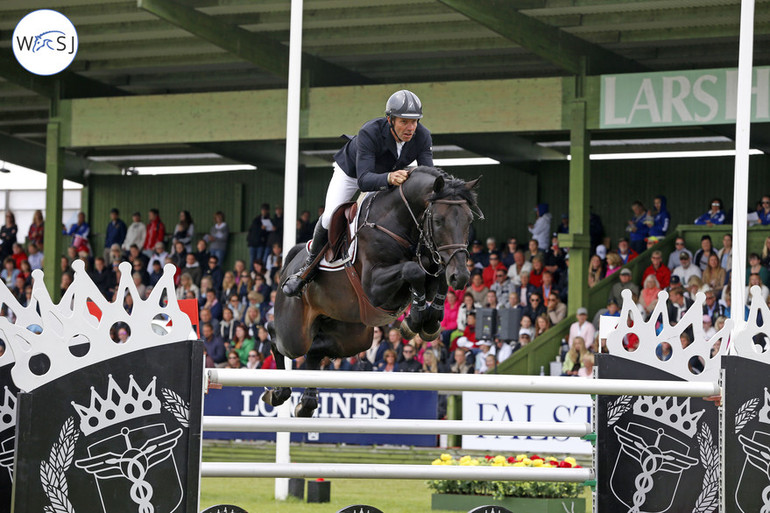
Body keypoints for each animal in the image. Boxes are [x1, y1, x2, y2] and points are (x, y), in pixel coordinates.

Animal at [264, 167, 480, 416]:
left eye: (469, 220)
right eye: (438, 220)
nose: (461, 276)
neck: (399, 223)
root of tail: (293, 260)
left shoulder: (434, 265)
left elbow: (437, 275)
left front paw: (430, 320)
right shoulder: (374, 287)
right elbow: (413, 270)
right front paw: (415, 320)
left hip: (352, 335)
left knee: (316, 349)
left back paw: (306, 402)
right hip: (295, 332)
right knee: (277, 335)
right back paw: (278, 392)